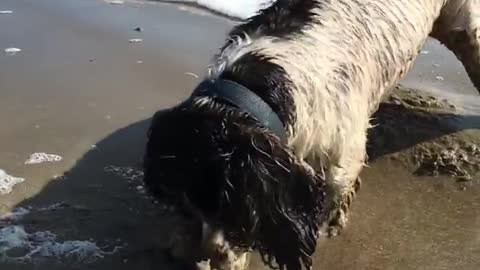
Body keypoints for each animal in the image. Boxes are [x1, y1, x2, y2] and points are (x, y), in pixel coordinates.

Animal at [143, 0, 480, 268]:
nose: (188, 258)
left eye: (233, 210)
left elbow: (333, 200)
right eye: (180, 203)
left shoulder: (341, 160)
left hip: (465, 27)